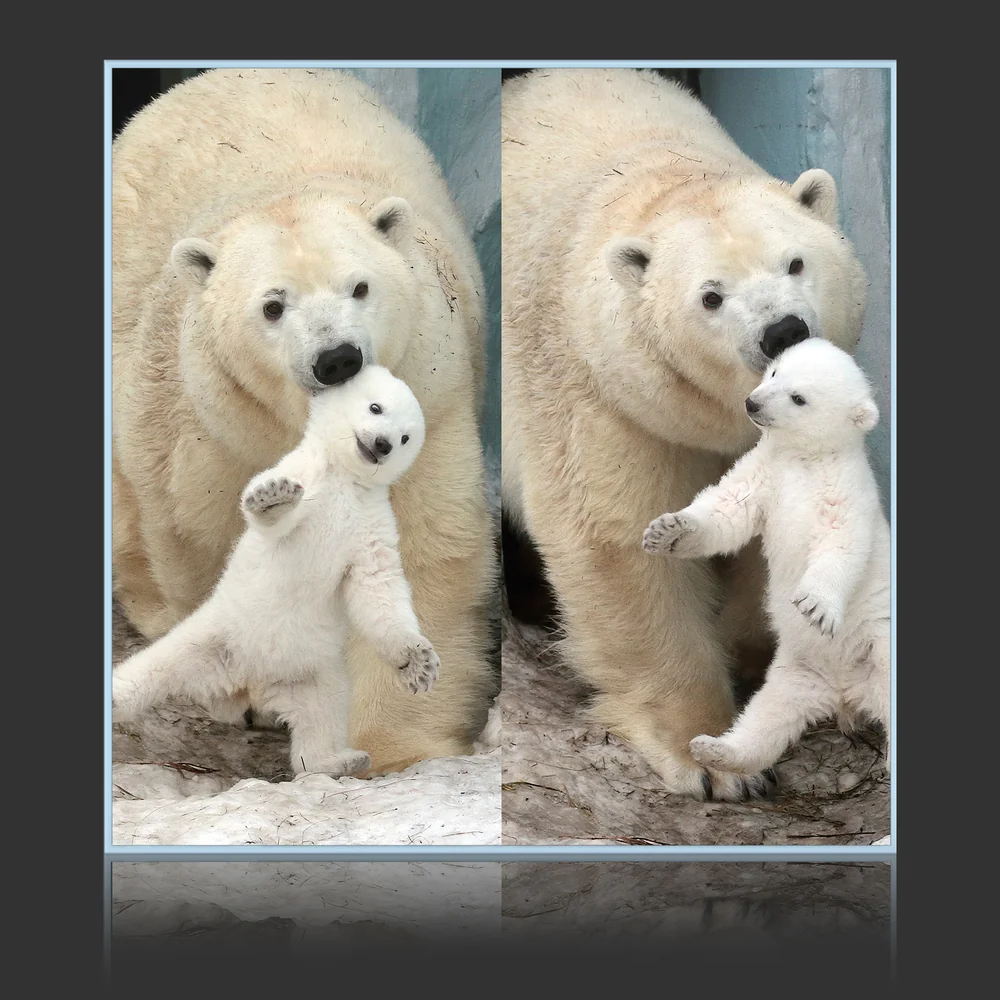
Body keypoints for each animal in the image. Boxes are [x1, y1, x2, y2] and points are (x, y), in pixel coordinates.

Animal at [112, 366, 440, 778]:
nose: (382, 445)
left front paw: (419, 663)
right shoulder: (304, 475)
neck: (344, 481)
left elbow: (377, 587)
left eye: (405, 437)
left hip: (313, 672)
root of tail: (248, 685)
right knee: (151, 670)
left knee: (321, 716)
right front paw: (274, 496)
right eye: (376, 407)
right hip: (212, 639)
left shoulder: (370, 524)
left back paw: (342, 760)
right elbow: (275, 519)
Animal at [642, 338, 890, 776]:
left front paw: (815, 605)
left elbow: (841, 544)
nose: (752, 403)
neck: (808, 457)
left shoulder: (845, 489)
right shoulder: (766, 471)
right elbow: (728, 509)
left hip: (880, 643)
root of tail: (846, 692)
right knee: (768, 715)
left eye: (799, 398)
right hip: (799, 670)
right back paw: (714, 748)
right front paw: (668, 530)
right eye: (776, 371)